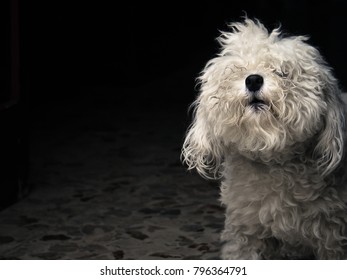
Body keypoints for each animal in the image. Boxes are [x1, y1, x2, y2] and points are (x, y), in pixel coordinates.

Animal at [182, 19, 347, 260]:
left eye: (283, 72)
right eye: (238, 70)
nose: (253, 80)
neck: (275, 164)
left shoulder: (332, 239)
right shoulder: (246, 233)